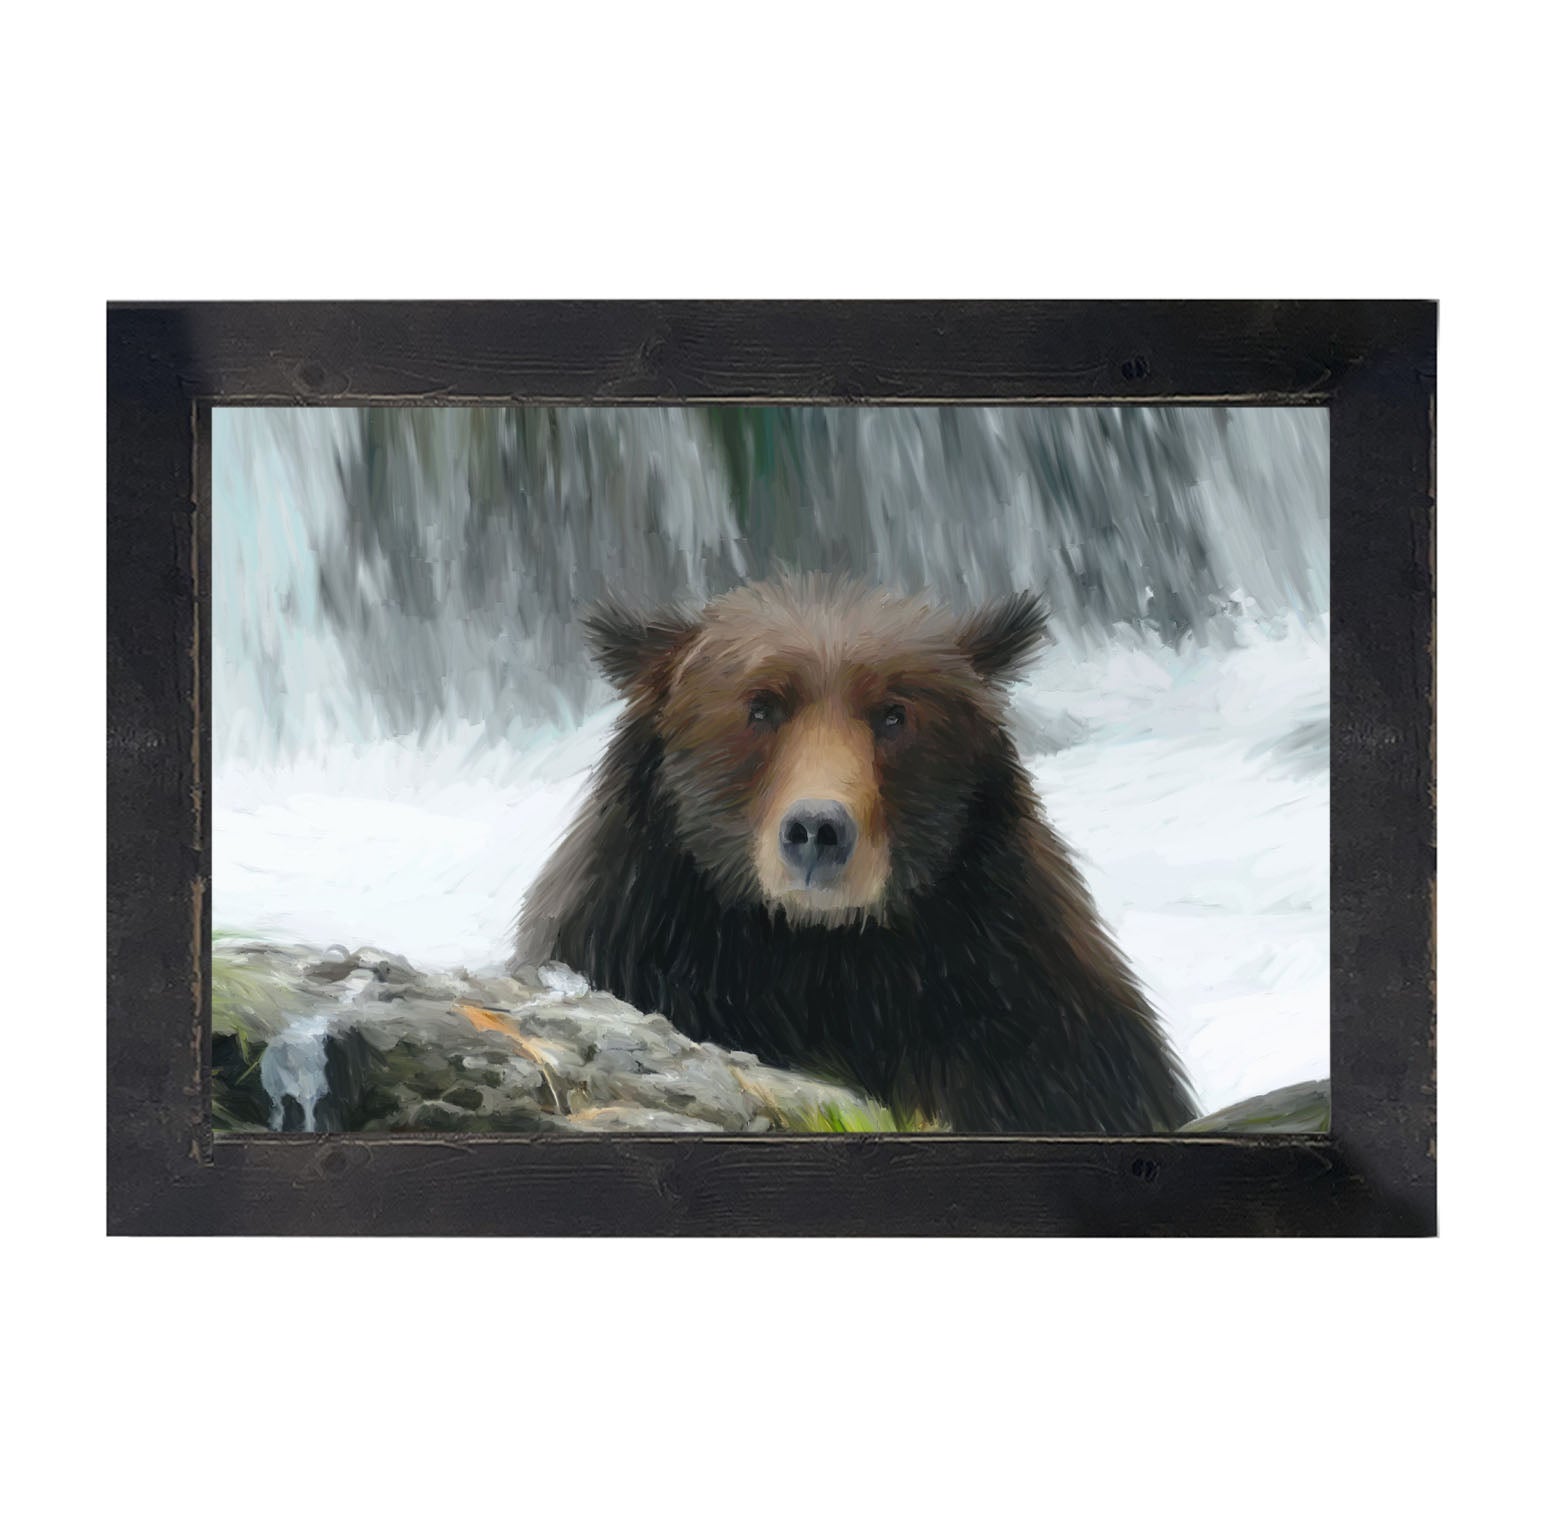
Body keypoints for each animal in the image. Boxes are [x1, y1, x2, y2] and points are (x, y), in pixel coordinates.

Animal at [515, 575, 1197, 1134]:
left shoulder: (1025, 1011)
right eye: (761, 706)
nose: (817, 829)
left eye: (893, 714)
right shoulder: (637, 940)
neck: (820, 954)